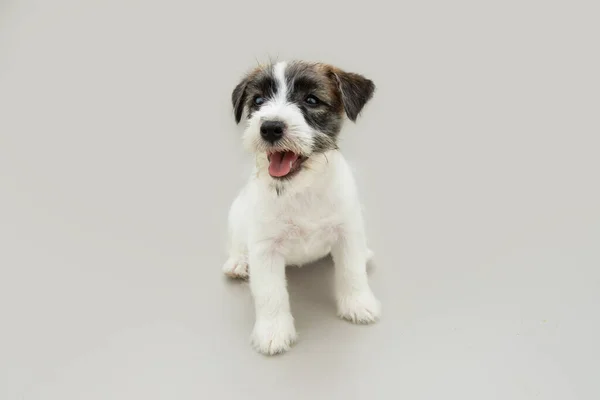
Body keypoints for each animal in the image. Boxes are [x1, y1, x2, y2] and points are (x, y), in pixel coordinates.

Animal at [223, 60, 382, 356]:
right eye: (258, 101)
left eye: (311, 100)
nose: (270, 127)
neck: (301, 190)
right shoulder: (264, 248)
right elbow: (270, 293)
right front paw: (273, 332)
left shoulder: (348, 232)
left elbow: (352, 272)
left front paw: (359, 304)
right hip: (237, 214)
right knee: (236, 243)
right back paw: (237, 262)